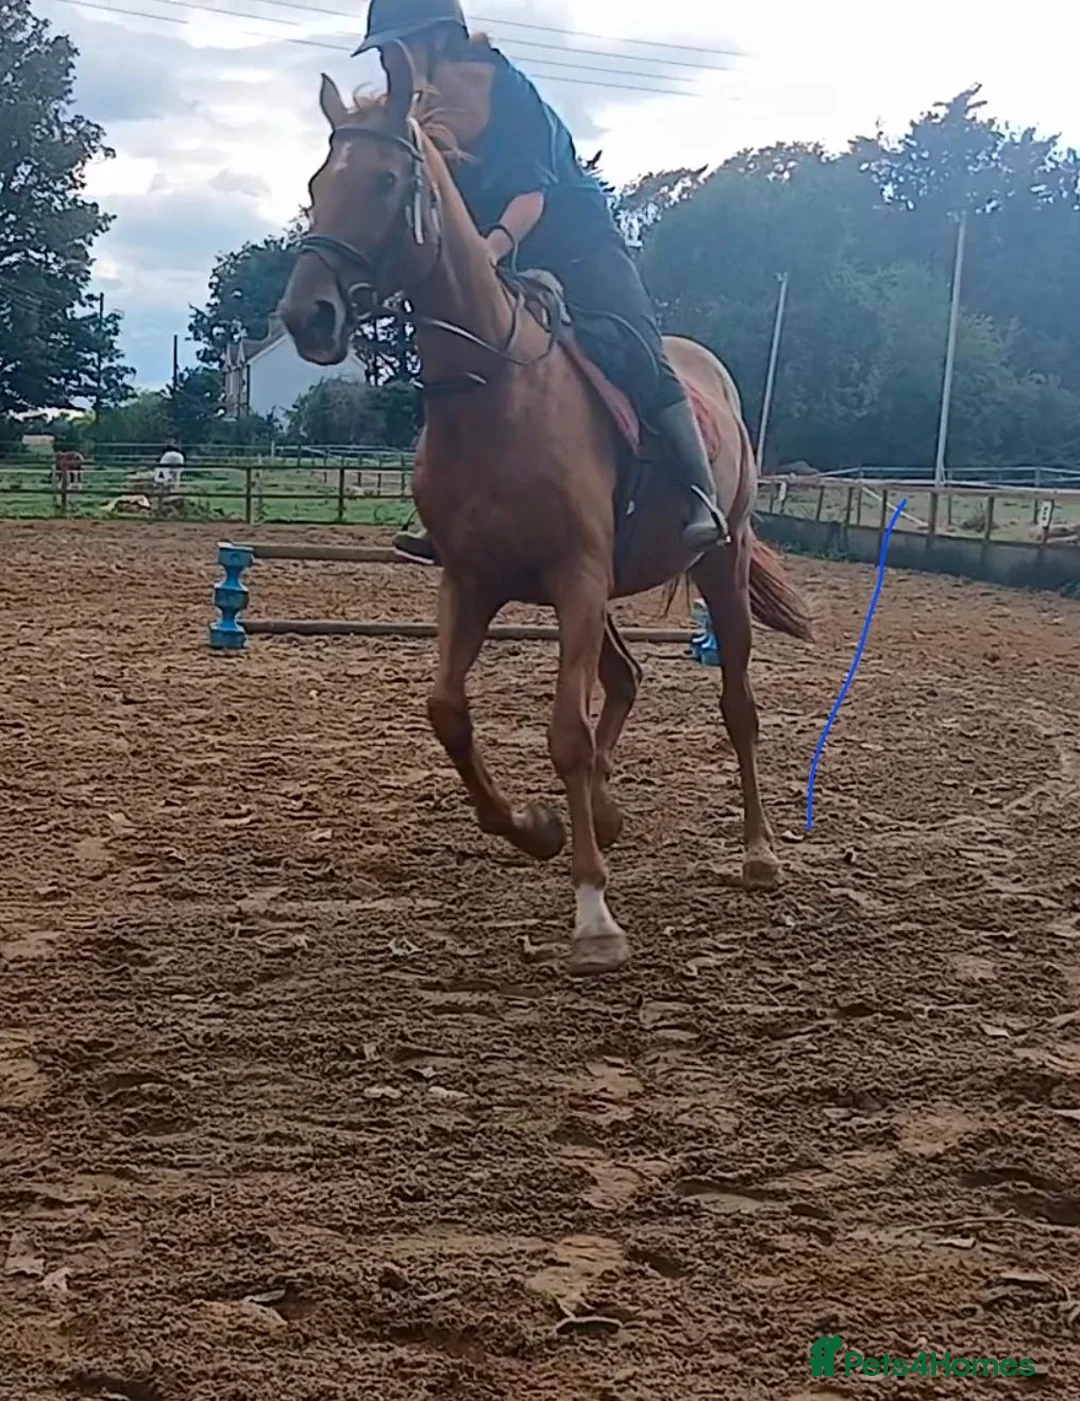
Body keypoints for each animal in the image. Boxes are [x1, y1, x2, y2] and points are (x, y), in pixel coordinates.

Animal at [278, 47, 813, 977]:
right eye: (317, 182)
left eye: (385, 181)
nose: (306, 314)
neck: (496, 393)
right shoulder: (473, 580)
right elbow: (448, 711)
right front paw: (539, 827)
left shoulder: (574, 579)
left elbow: (566, 729)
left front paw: (593, 912)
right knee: (626, 679)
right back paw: (606, 809)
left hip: (716, 564)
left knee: (735, 704)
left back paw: (757, 852)